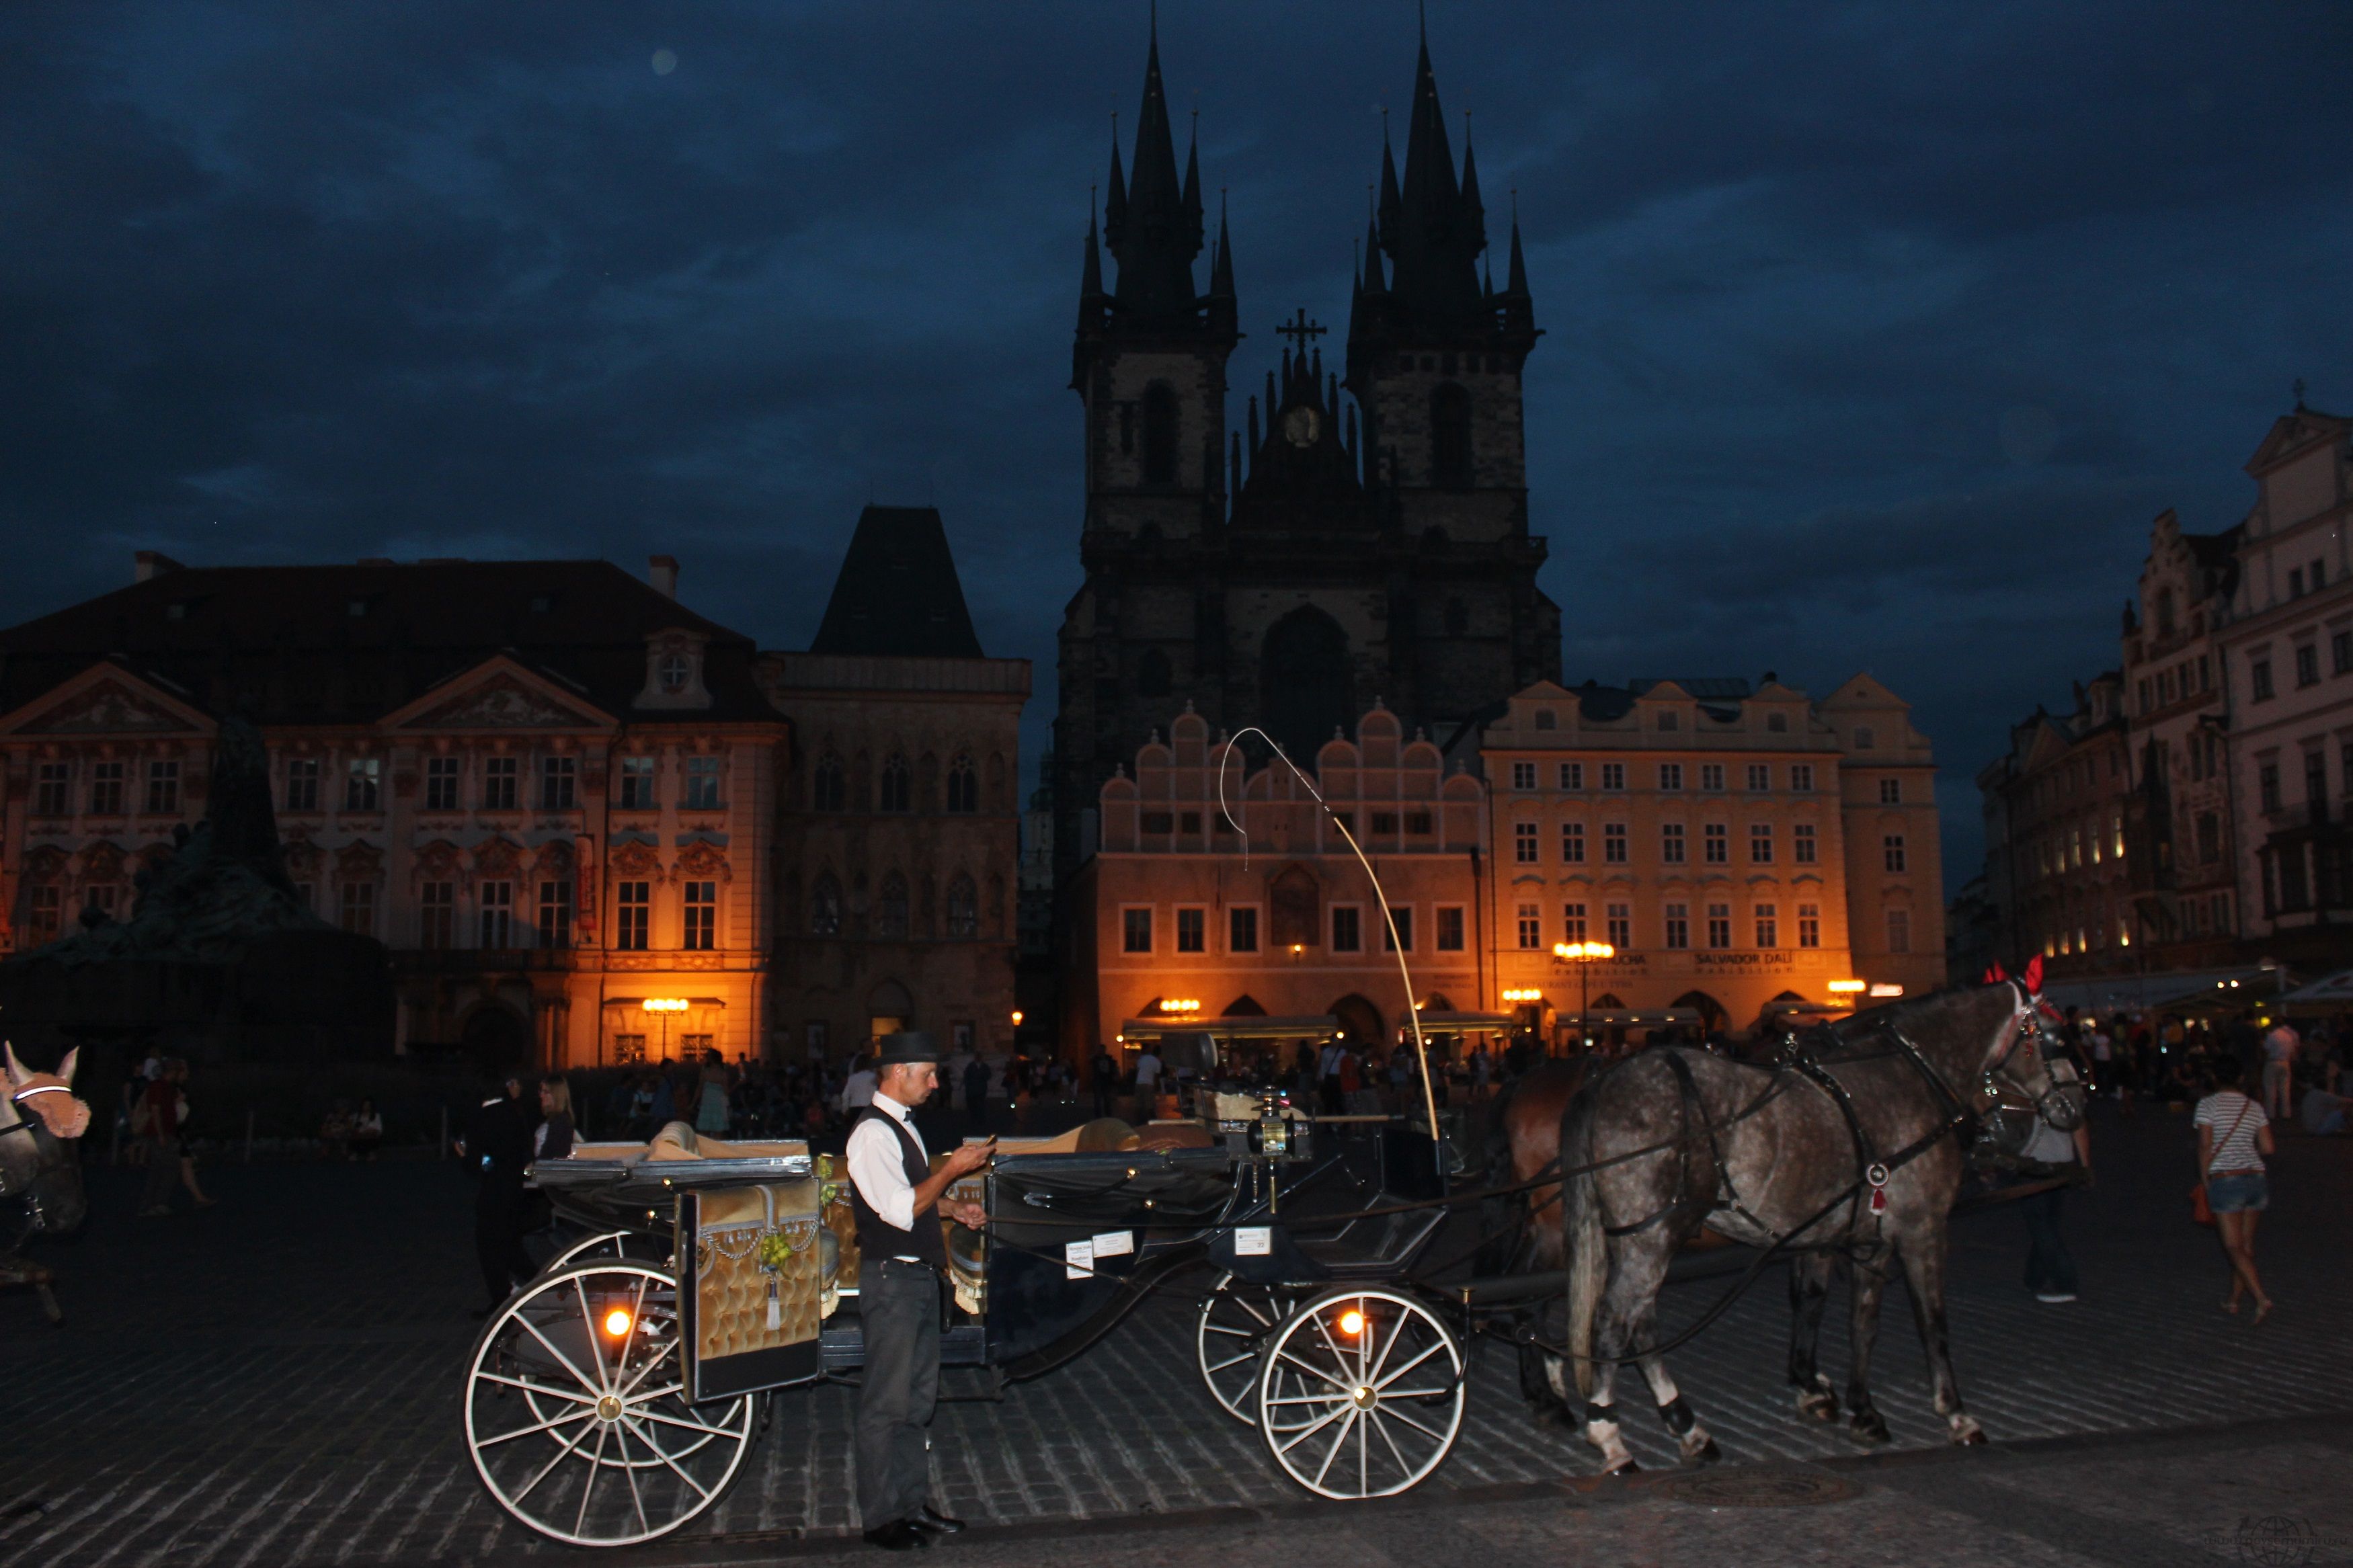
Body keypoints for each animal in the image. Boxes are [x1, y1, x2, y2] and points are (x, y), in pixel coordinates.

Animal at [1562, 983, 2080, 1476]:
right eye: (2055, 1036)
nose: (2076, 1103)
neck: (1913, 1074)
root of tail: (1603, 1082)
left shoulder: (1866, 1237)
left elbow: (1858, 1322)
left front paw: (1861, 1408)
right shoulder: (1924, 1230)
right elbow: (1933, 1324)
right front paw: (1956, 1413)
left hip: (1643, 1237)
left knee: (1641, 1323)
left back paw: (1687, 1426)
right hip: (1652, 1235)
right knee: (1614, 1323)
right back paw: (1611, 1438)